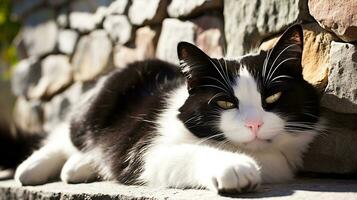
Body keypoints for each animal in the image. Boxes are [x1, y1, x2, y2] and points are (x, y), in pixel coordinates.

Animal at [12, 24, 322, 193]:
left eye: (272, 97)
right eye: (224, 102)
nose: (254, 124)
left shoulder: (283, 162)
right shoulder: (145, 152)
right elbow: (187, 152)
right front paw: (234, 166)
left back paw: (79, 166)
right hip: (93, 110)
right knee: (66, 135)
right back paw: (31, 168)